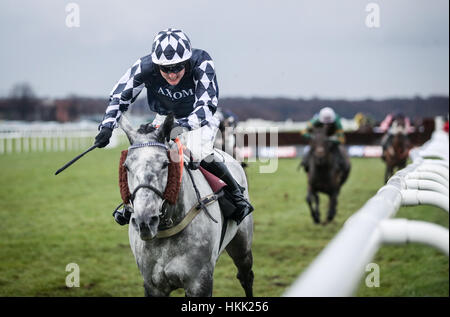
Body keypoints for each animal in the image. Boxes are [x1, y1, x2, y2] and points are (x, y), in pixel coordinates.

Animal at [118, 113, 253, 296]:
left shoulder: (200, 283)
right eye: (126, 166)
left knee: (246, 276)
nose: (145, 221)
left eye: (165, 164)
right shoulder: (153, 286)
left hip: (242, 247)